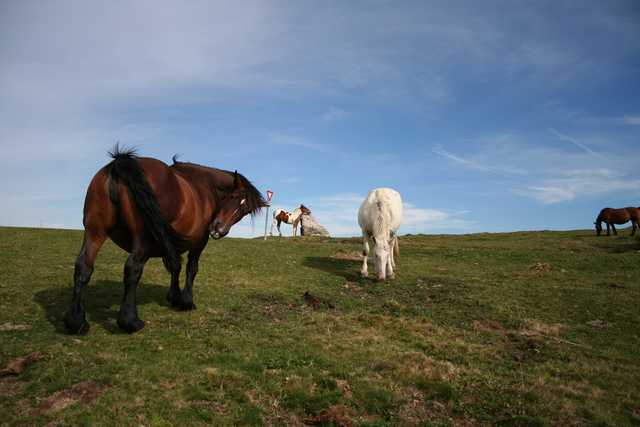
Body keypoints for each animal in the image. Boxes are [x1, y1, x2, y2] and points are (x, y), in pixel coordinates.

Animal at [64, 146, 267, 335]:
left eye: (244, 210)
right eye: (232, 197)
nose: (219, 230)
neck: (203, 187)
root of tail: (121, 163)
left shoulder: (170, 243)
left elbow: (175, 265)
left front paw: (174, 297)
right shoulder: (199, 242)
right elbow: (191, 268)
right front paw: (186, 301)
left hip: (95, 232)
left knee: (83, 266)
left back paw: (77, 322)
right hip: (143, 240)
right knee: (132, 269)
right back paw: (130, 321)